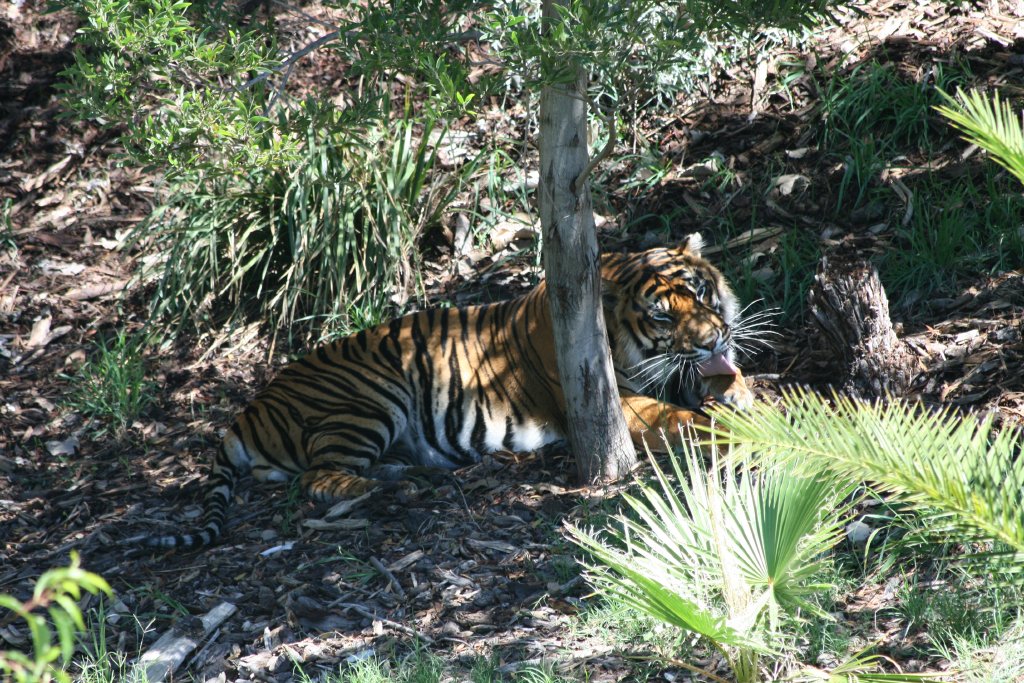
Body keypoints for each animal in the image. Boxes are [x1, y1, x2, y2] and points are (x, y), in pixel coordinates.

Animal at [142, 234, 756, 548]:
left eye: (702, 293)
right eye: (662, 315)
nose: (712, 339)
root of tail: (248, 410)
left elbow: (724, 383)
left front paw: (745, 395)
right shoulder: (613, 403)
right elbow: (682, 419)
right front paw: (746, 423)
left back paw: (404, 472)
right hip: (368, 399)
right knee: (318, 479)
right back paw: (396, 486)